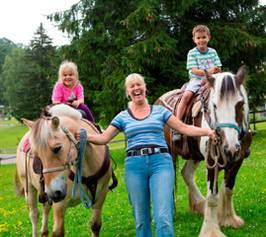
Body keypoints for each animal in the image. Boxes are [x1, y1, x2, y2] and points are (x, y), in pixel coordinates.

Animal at [15, 104, 117, 236]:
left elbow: (95, 225)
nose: (53, 192)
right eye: (36, 154)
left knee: (45, 209)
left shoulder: (101, 195)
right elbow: (58, 232)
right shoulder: (59, 203)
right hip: (31, 188)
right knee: (34, 215)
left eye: (57, 148)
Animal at [157, 66, 252, 237]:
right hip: (167, 153)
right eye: (214, 105)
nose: (230, 147)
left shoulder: (238, 159)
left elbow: (228, 189)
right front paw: (211, 230)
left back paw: (199, 204)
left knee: (186, 173)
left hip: (194, 155)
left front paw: (229, 219)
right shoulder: (211, 160)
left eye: (240, 104)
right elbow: (213, 197)